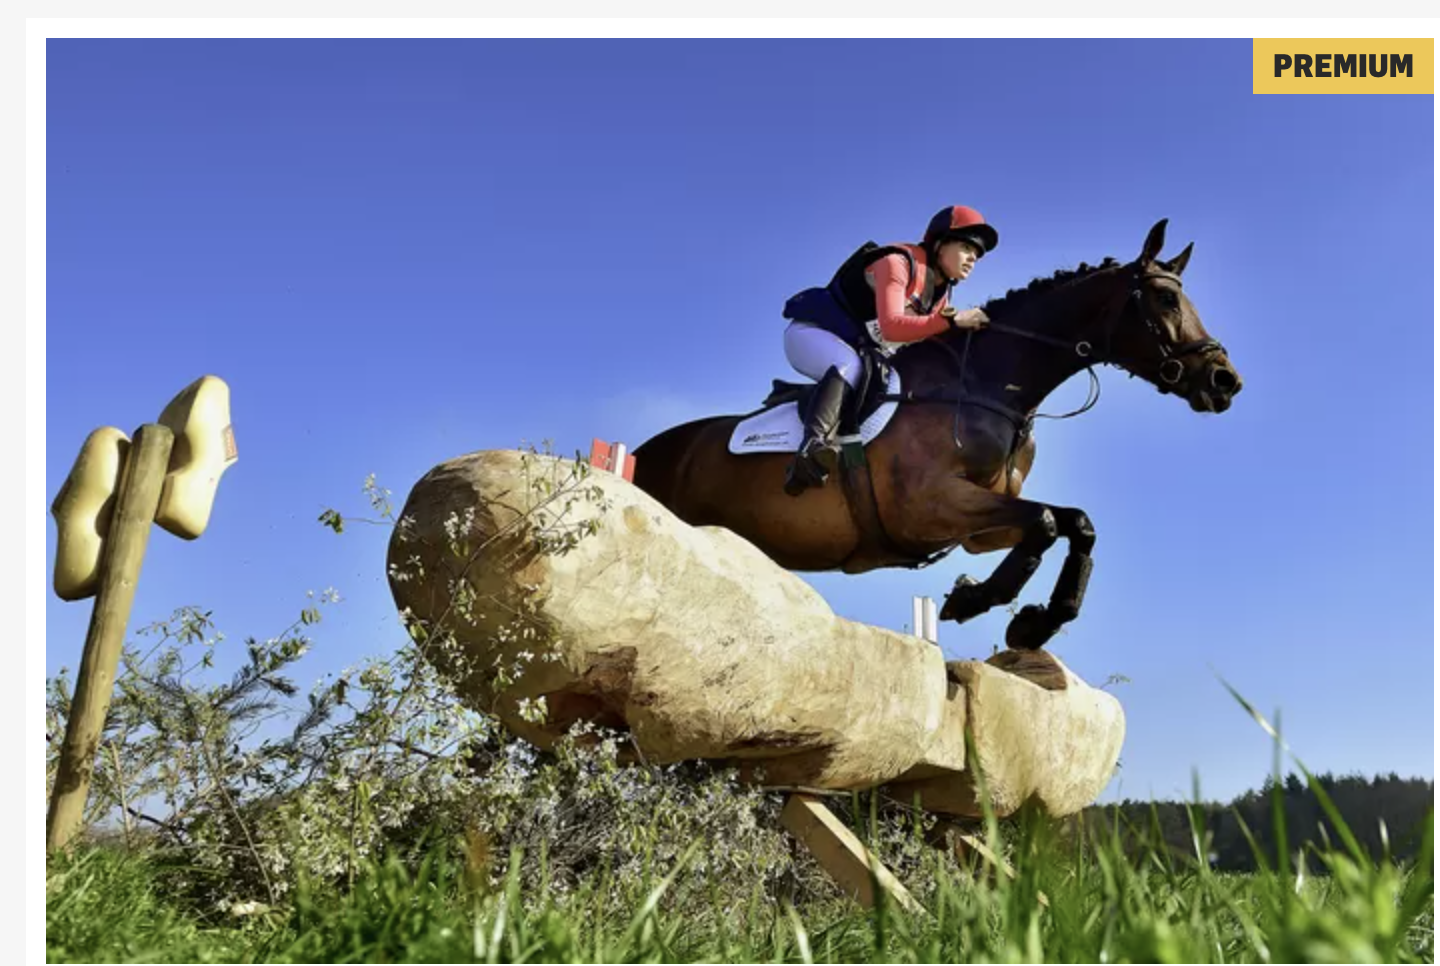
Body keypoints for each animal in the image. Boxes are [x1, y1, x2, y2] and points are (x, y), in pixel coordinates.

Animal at [636, 221, 1244, 650]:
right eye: (1166, 300)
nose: (1225, 381)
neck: (986, 384)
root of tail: (643, 451)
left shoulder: (980, 520)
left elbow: (1074, 523)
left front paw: (1033, 622)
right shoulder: (927, 507)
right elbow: (1047, 524)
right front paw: (976, 600)